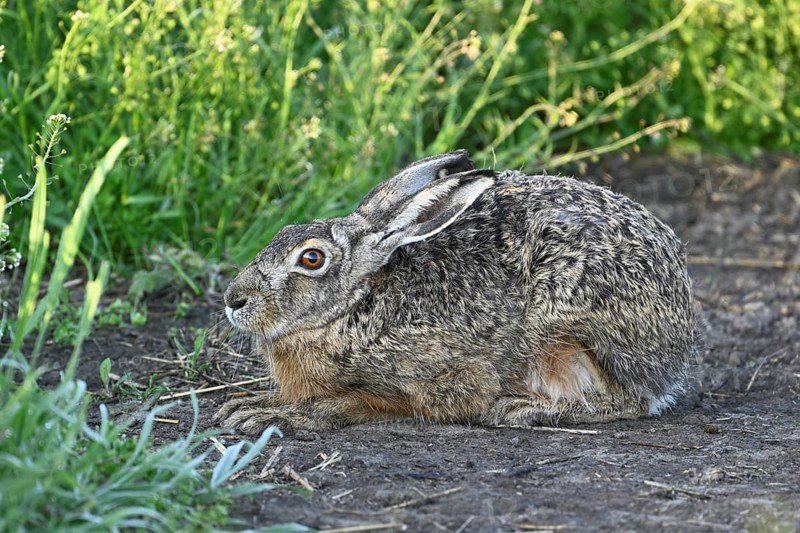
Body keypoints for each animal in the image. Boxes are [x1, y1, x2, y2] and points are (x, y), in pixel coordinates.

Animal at [215, 150, 700, 435]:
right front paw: (245, 403)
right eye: (283, 232)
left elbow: (341, 404)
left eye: (312, 259)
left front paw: (270, 416)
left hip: (574, 330)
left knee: (633, 400)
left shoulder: (427, 381)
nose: (234, 300)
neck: (355, 306)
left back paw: (521, 408)